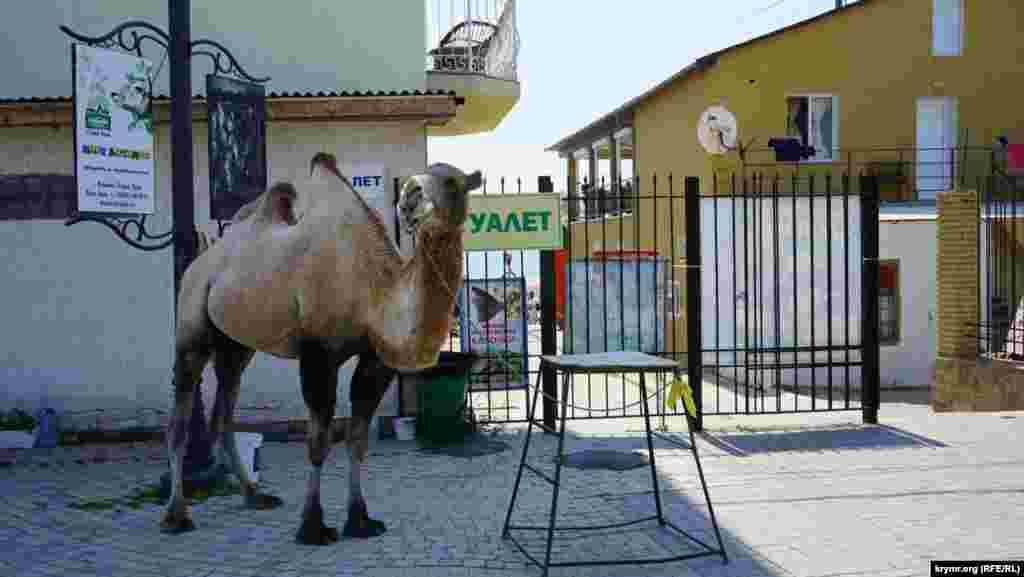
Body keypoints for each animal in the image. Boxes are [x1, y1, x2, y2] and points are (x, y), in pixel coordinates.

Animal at [161, 151, 481, 545]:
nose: (409, 198)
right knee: (180, 415)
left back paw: (254, 496)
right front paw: (312, 526)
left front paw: (360, 520)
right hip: (191, 323)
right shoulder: (317, 353)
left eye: (451, 181)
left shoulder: (375, 358)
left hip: (235, 344)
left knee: (225, 409)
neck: (373, 291)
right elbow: (318, 440)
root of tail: (202, 258)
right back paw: (176, 515)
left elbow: (357, 438)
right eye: (413, 181)